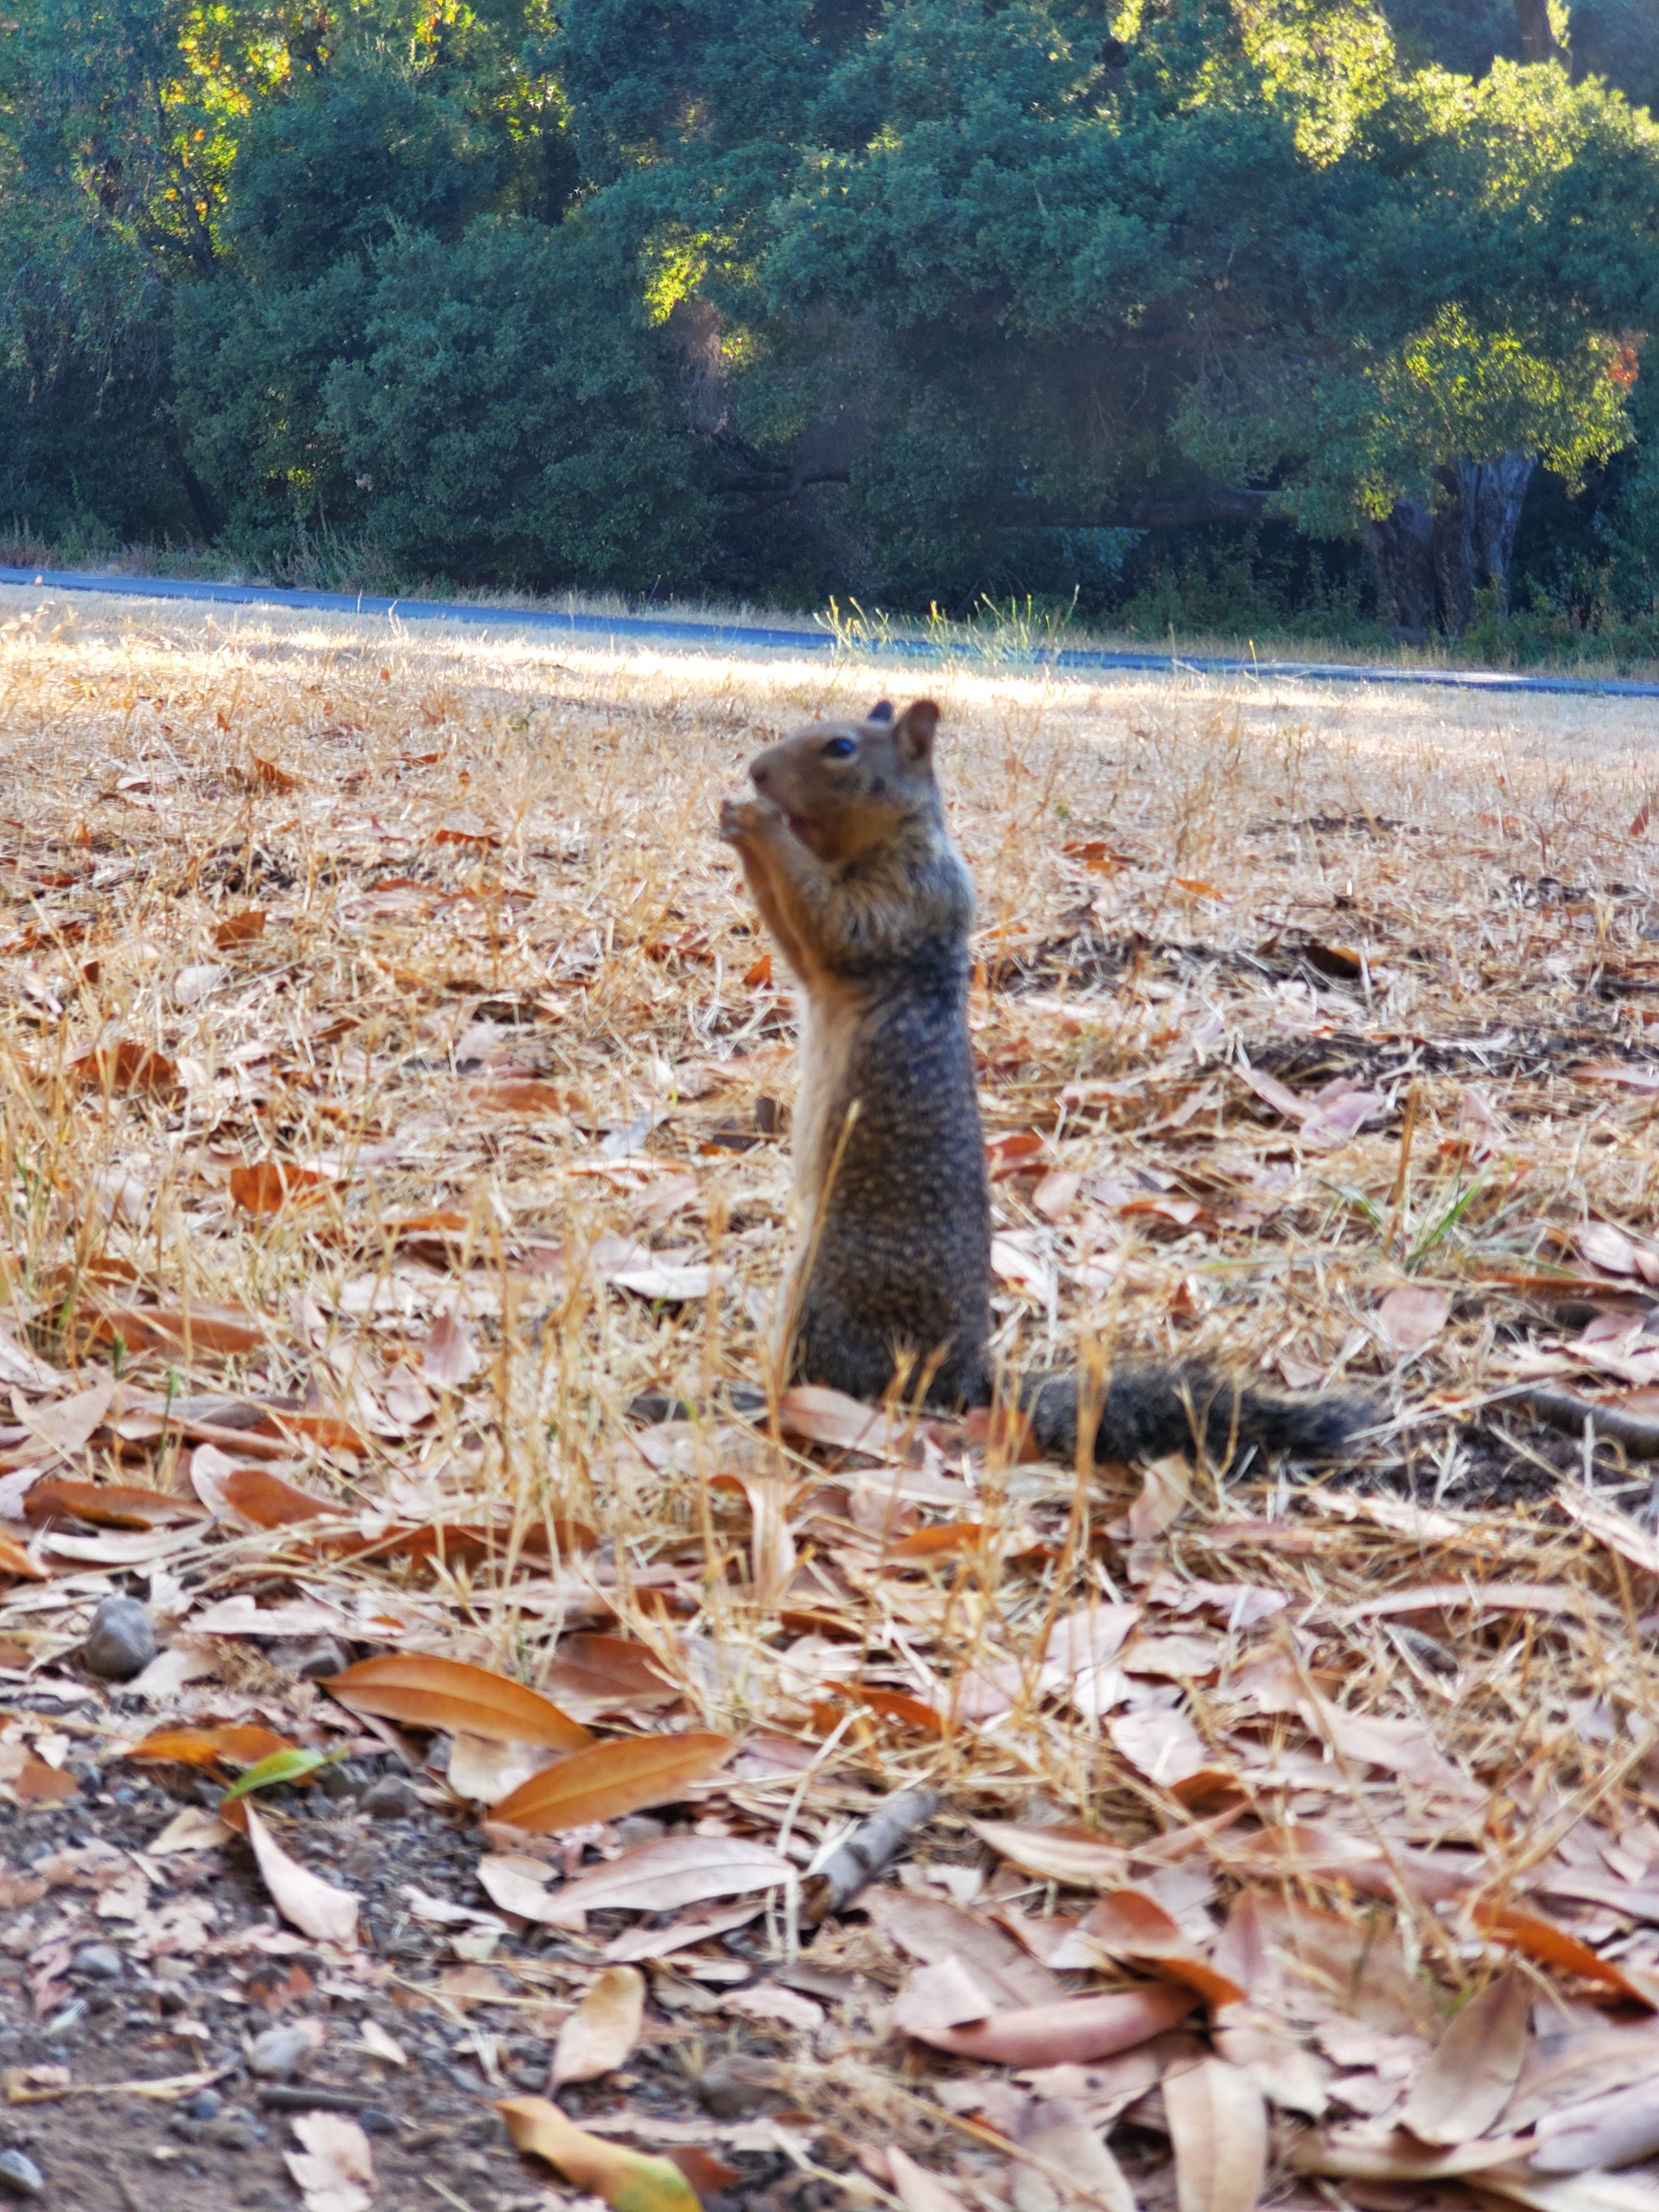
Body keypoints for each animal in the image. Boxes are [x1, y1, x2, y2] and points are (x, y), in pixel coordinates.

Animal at [721, 698, 1371, 1460]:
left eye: (842, 748)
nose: (756, 770)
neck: (875, 843)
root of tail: (964, 1371)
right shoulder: (823, 953)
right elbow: (796, 940)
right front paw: (737, 819)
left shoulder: (910, 901)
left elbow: (835, 922)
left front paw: (758, 821)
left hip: (826, 1290)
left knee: (830, 1377)